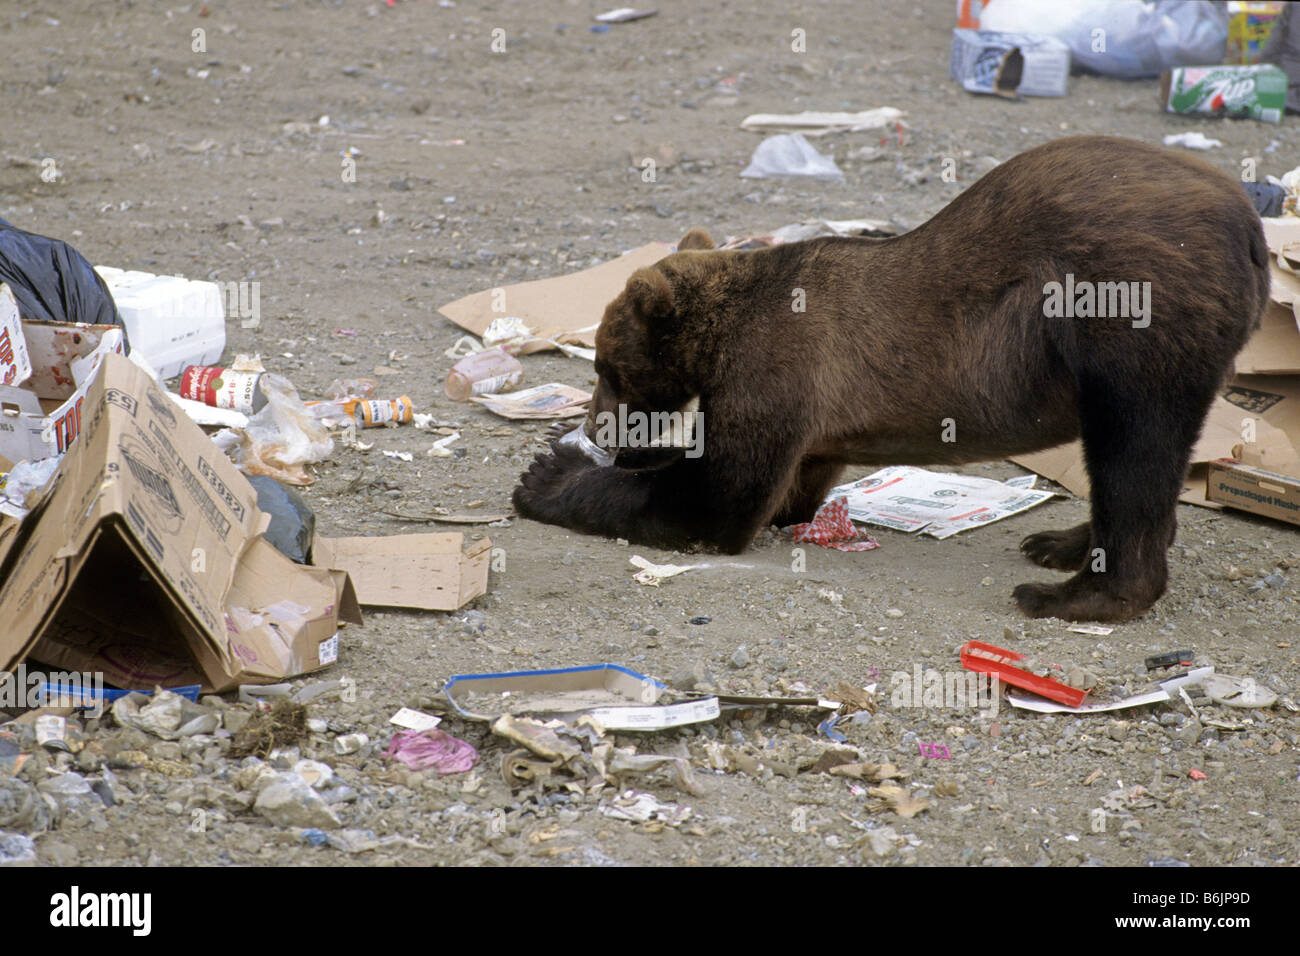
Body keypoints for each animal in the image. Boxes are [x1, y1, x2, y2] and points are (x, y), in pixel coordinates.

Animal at [513, 135, 1270, 623]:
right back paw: (1059, 543)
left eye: (607, 367)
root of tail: (1250, 227)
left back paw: (1074, 594)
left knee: (1133, 445)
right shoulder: (814, 426)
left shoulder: (778, 368)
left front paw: (546, 477)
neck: (723, 335)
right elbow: (782, 494)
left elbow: (716, 501)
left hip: (1127, 306)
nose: (594, 427)